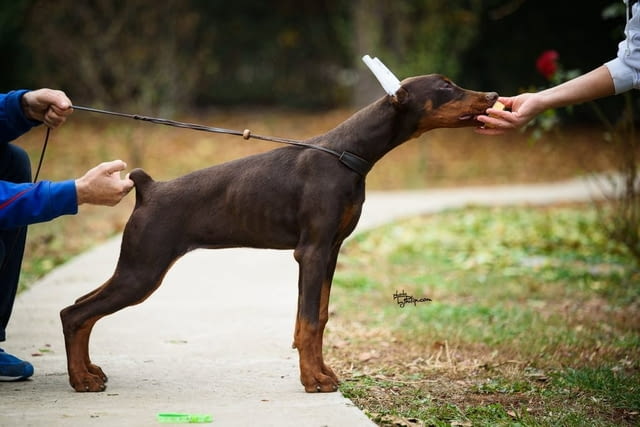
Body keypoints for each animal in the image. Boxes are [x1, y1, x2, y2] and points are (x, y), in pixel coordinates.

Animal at [60, 73, 498, 392]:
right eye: (446, 87)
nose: (493, 94)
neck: (349, 153)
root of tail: (149, 188)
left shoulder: (331, 250)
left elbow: (319, 317)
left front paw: (323, 372)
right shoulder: (312, 251)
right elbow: (307, 322)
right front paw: (313, 380)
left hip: (137, 267)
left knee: (79, 309)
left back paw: (89, 372)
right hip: (144, 268)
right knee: (75, 313)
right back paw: (81, 379)